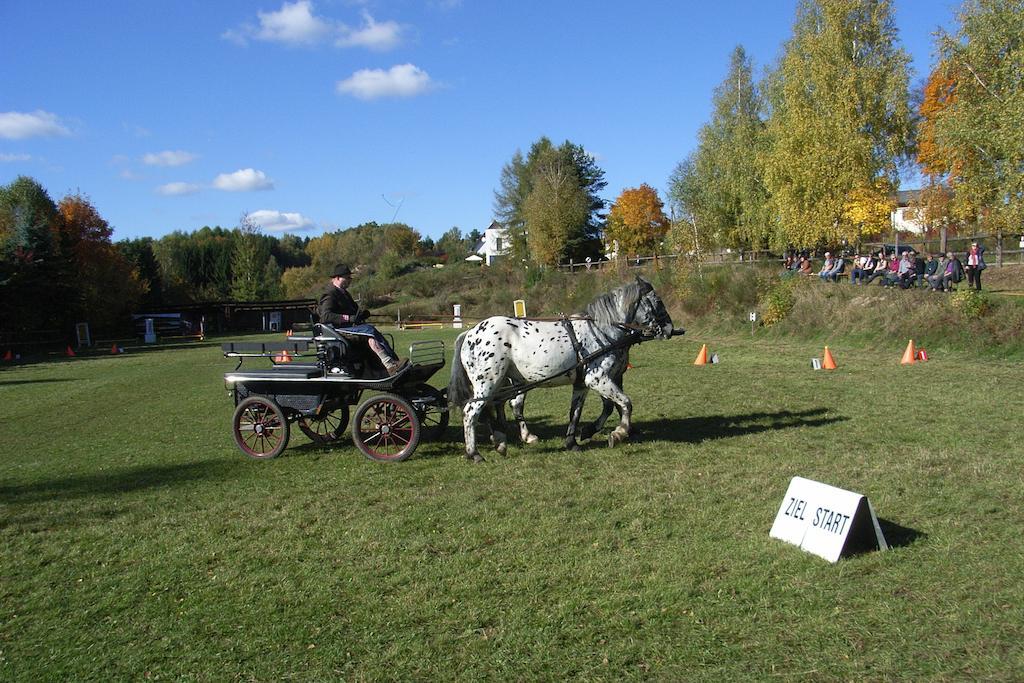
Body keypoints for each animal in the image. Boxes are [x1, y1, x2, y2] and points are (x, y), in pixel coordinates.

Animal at [450, 278, 679, 464]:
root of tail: (469, 333)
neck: (602, 330)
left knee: (496, 407)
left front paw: (575, 440)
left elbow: (578, 412)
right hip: (488, 382)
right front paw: (618, 433)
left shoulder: (584, 383)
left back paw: (501, 442)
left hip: (501, 383)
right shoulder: (597, 379)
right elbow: (625, 403)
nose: (669, 329)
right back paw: (475, 453)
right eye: (657, 302)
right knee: (471, 412)